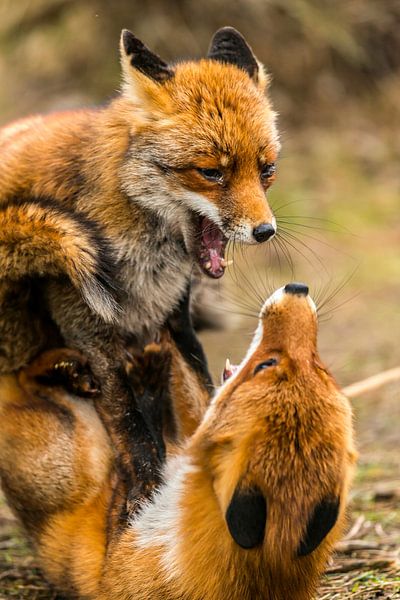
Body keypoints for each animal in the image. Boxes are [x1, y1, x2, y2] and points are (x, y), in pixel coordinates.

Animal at [0, 284, 356, 600]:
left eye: (265, 365)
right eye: (324, 370)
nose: (298, 287)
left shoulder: (118, 549)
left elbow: (141, 461)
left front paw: (149, 385)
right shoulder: (187, 441)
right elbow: (193, 374)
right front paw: (180, 311)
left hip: (66, 460)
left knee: (26, 379)